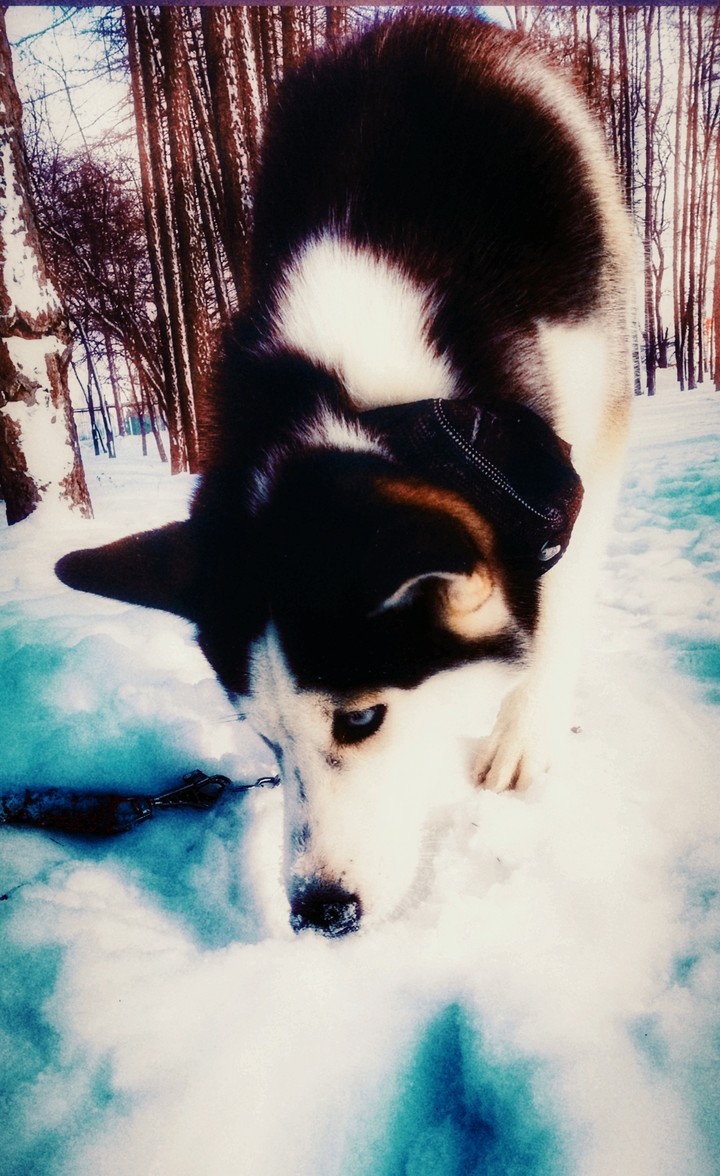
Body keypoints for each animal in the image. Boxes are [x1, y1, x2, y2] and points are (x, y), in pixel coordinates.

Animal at [57, 13, 633, 937]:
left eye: (362, 717)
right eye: (263, 735)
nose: (320, 911)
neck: (373, 396)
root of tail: (417, 25)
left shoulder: (583, 434)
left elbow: (561, 601)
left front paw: (525, 731)